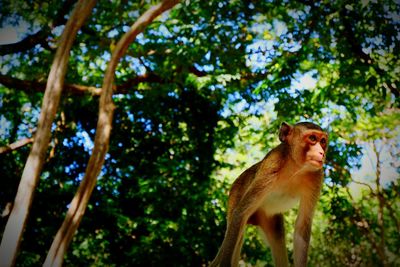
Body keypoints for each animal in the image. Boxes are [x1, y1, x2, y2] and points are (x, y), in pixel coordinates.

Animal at [209, 122, 328, 267]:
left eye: (323, 141)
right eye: (312, 138)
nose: (322, 153)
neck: (295, 167)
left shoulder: (317, 177)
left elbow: (302, 228)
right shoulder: (272, 164)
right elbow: (240, 213)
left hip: (269, 219)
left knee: (277, 236)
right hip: (234, 197)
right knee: (238, 229)